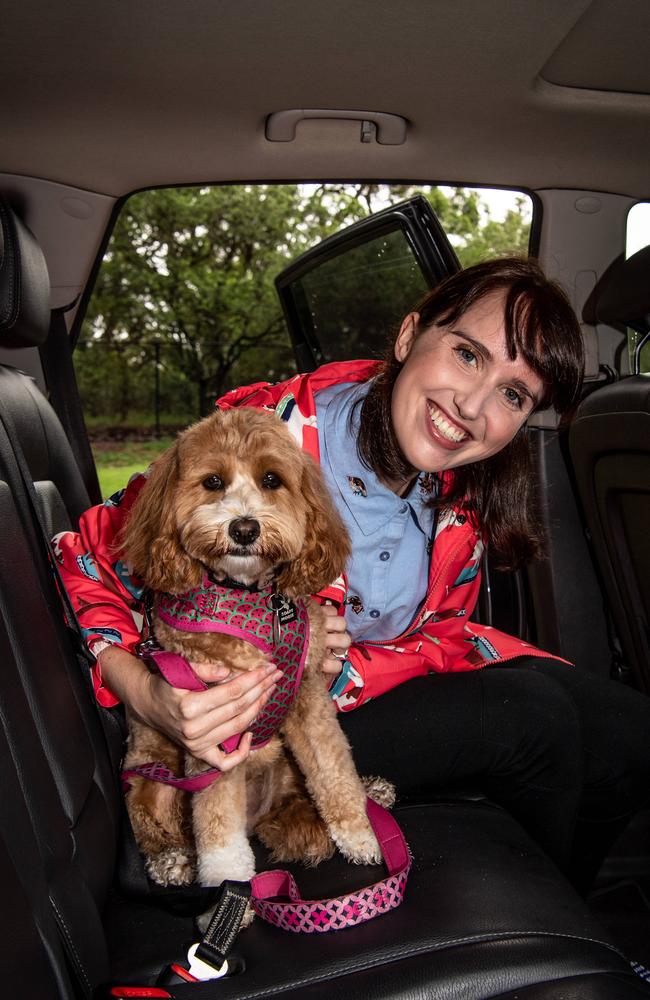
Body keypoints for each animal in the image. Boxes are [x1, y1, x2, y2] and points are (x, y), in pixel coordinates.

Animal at [117, 410, 390, 896]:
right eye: (212, 481)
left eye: (270, 479)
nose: (244, 528)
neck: (251, 599)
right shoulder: (214, 727)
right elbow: (216, 818)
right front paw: (230, 880)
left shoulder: (308, 701)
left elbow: (334, 772)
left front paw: (359, 834)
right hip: (152, 778)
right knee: (155, 825)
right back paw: (174, 862)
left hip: (285, 764)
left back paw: (371, 791)